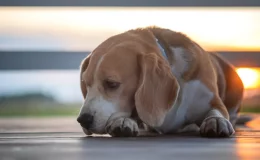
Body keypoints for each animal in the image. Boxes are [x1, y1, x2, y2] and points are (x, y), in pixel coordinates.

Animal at [77, 26, 244, 138]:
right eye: (86, 84)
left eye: (112, 84)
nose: (83, 120)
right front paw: (124, 120)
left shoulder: (213, 101)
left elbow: (216, 112)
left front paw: (216, 121)